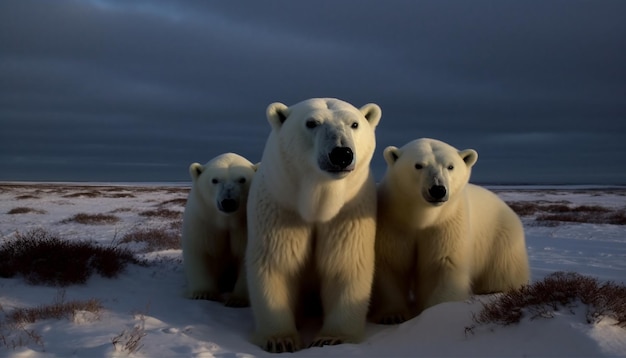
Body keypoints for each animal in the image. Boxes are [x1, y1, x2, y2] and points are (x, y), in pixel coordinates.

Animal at [182, 152, 258, 306]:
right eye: (215, 180)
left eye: (242, 179)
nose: (228, 202)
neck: (227, 220)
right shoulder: (204, 221)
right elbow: (200, 251)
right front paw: (203, 293)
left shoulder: (245, 227)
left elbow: (246, 257)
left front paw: (237, 299)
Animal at [244, 97, 380, 352]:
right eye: (312, 123)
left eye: (354, 123)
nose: (341, 153)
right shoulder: (281, 209)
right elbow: (277, 264)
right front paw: (280, 340)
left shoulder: (348, 213)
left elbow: (344, 264)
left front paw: (332, 338)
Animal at [368, 138, 528, 324]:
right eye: (418, 165)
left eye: (450, 166)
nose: (438, 189)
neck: (422, 218)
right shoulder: (393, 223)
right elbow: (391, 264)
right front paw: (392, 315)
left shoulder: (447, 224)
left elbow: (443, 264)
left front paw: (435, 312)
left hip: (501, 239)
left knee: (504, 270)